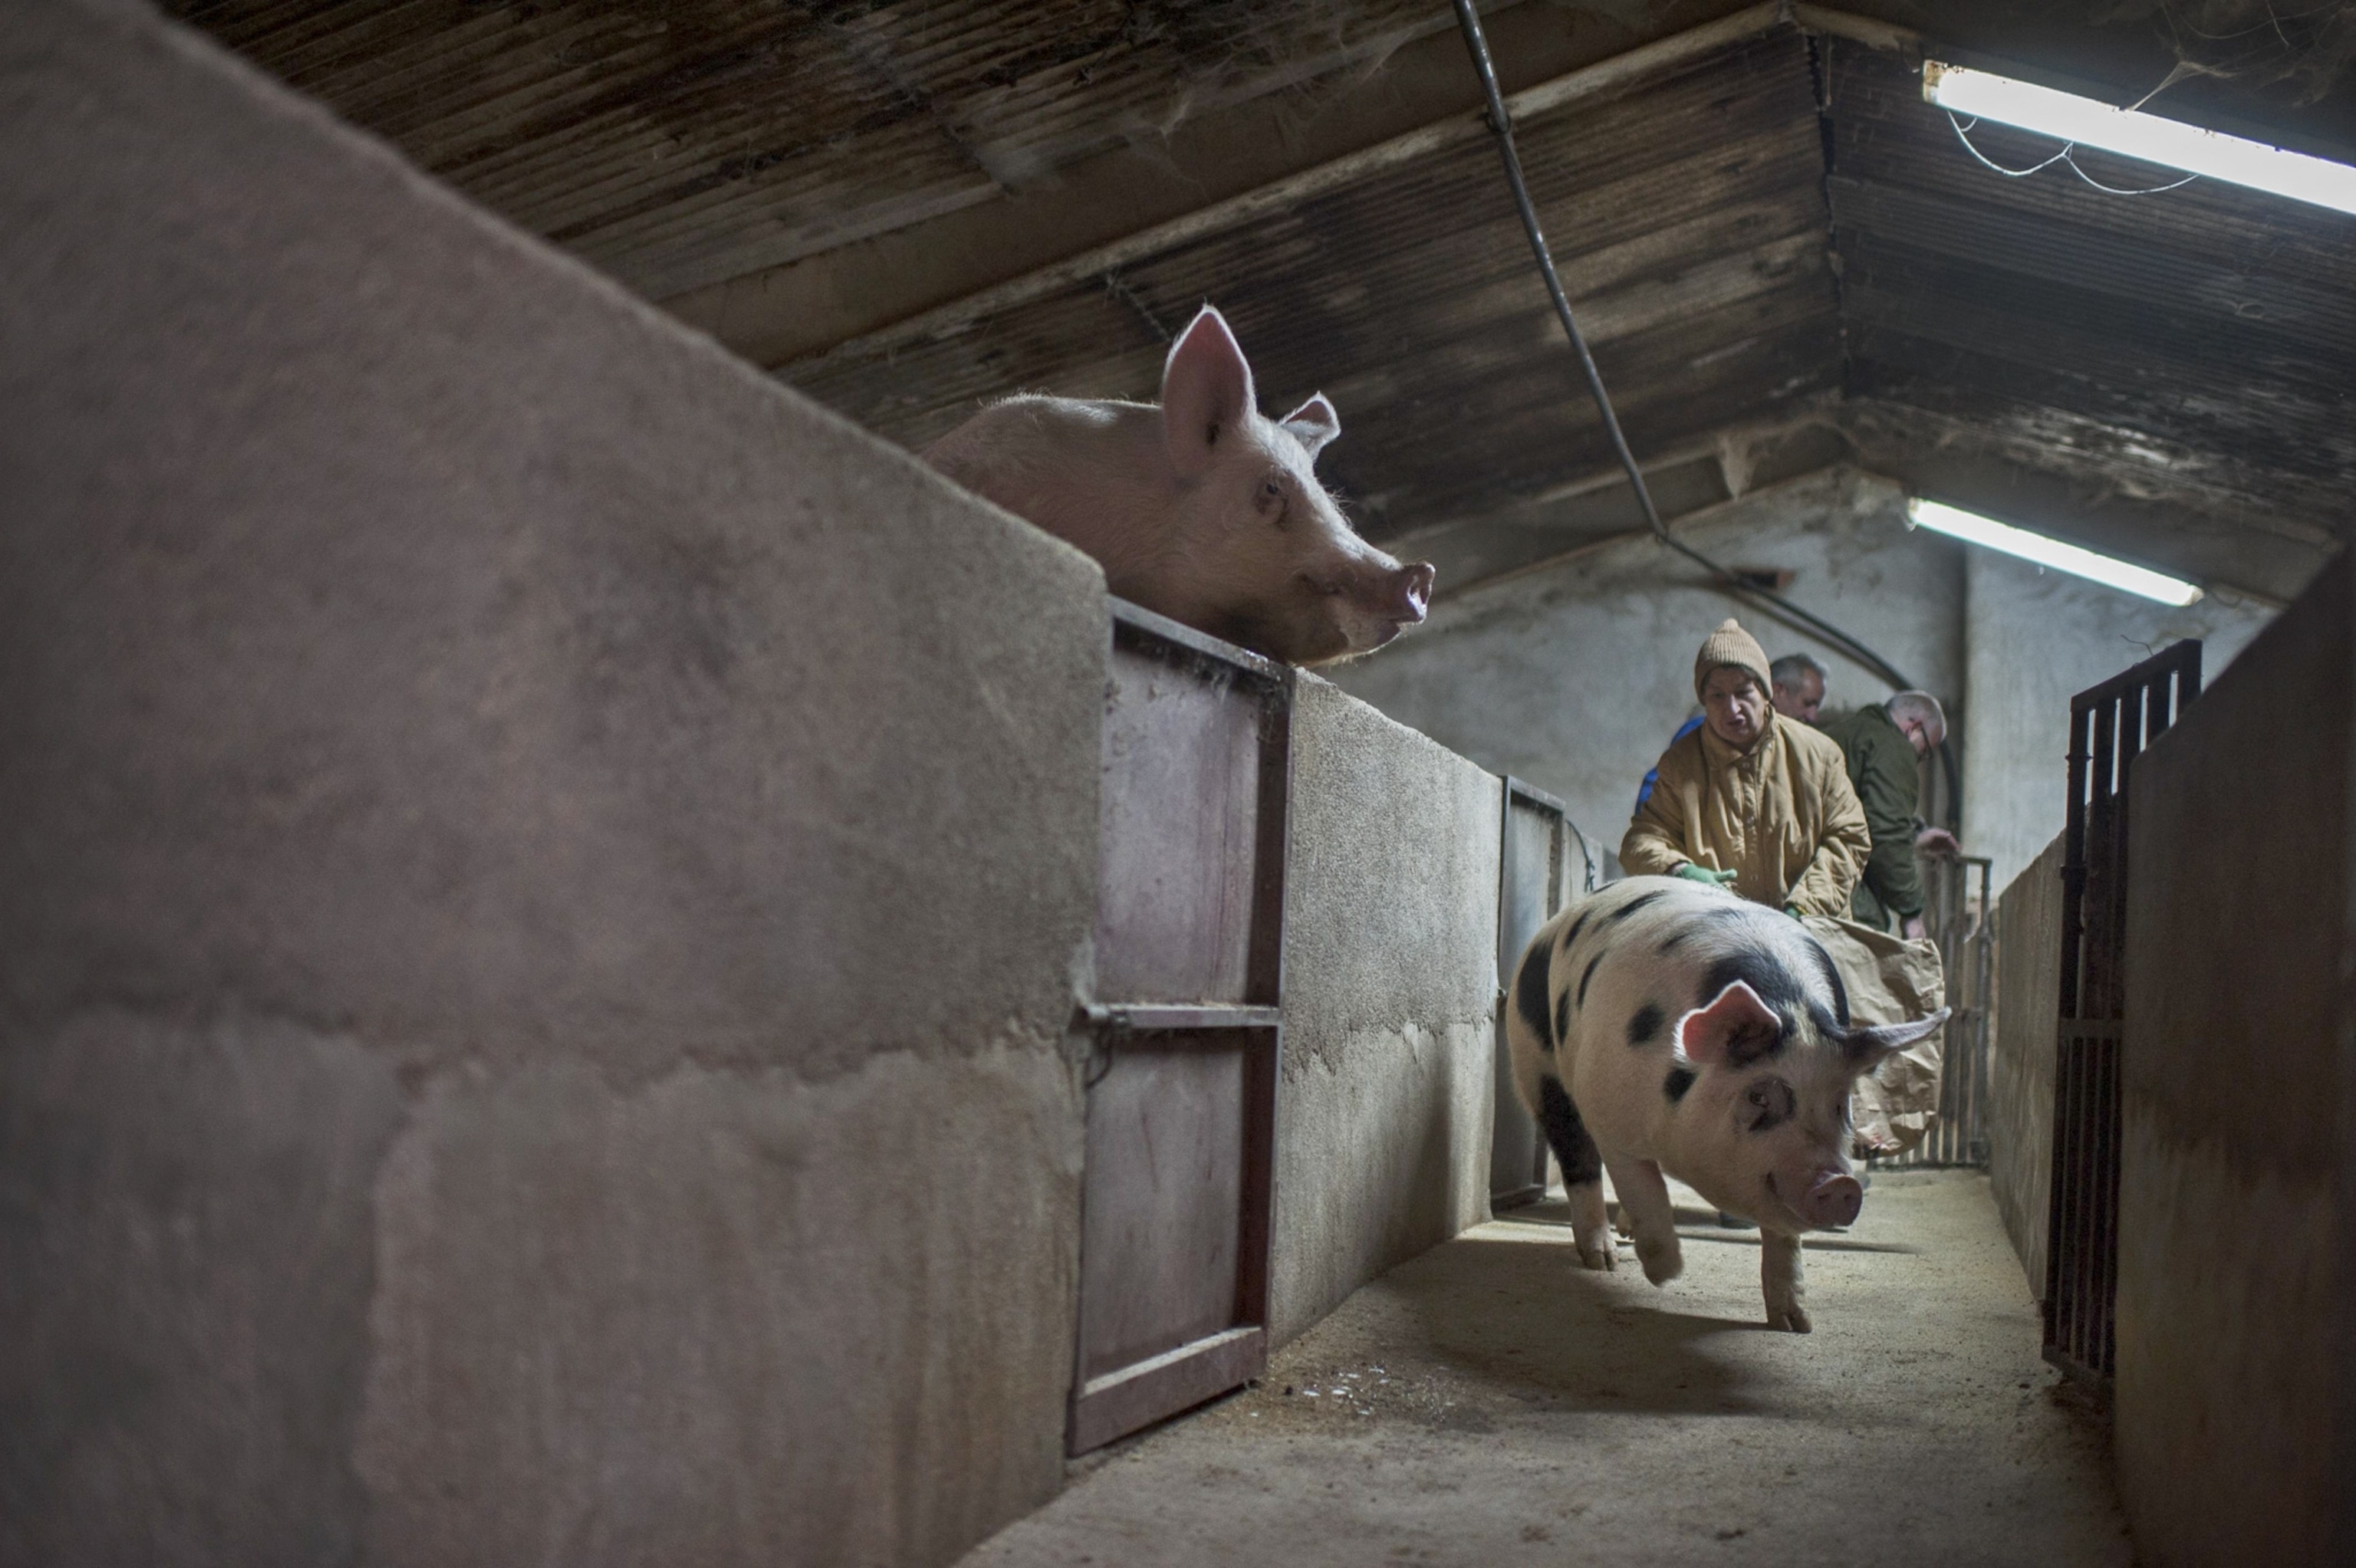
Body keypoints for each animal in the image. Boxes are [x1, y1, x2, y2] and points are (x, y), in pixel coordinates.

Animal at [1504, 875, 1949, 1332]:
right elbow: (1642, 1188)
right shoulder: (1610, 1114)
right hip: (1535, 1062)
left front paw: (1795, 1325)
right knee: (1577, 1158)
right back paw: (1604, 1259)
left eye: (1841, 1104)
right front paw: (1665, 1274)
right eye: (1759, 1095)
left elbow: (1783, 1236)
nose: (1841, 1184)